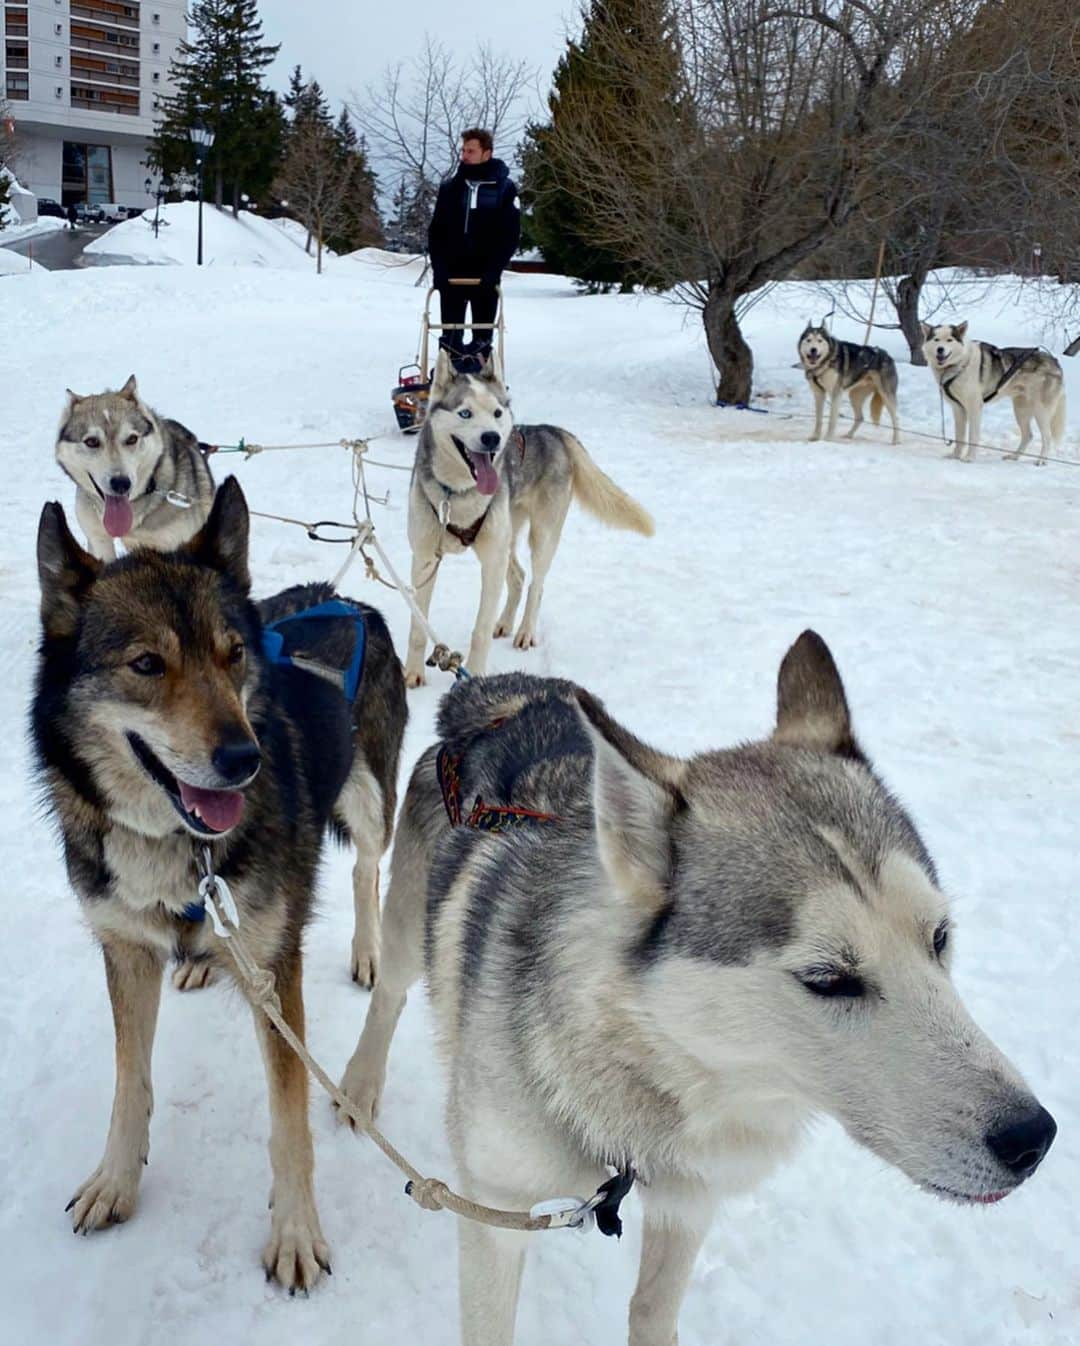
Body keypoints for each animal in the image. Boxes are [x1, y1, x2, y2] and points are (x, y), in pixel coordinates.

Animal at [33, 479, 406, 1286]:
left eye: (233, 655)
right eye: (147, 664)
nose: (245, 759)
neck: (176, 846)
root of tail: (343, 598)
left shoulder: (274, 966)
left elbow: (289, 1116)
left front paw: (295, 1232)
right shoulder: (125, 949)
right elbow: (130, 1082)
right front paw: (116, 1181)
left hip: (368, 799)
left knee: (367, 869)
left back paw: (367, 950)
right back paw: (204, 963)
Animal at [343, 643, 1050, 1346]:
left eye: (939, 937)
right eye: (828, 978)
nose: (1034, 1138)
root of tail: (500, 693)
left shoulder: (691, 1200)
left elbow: (653, 1310)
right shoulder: (496, 1212)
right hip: (406, 933)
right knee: (389, 997)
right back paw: (356, 1086)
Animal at [403, 349, 651, 683]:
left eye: (497, 412)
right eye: (465, 413)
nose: (492, 438)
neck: (458, 494)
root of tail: (553, 431)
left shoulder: (491, 561)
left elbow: (480, 630)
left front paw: (476, 676)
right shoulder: (425, 560)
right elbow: (418, 627)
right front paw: (412, 674)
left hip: (541, 536)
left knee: (536, 585)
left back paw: (524, 631)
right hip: (508, 536)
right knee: (519, 577)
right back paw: (505, 623)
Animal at [915, 320, 1066, 463]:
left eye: (949, 340)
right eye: (936, 339)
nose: (940, 349)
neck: (960, 364)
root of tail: (1054, 360)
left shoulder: (974, 407)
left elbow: (973, 436)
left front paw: (969, 458)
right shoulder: (958, 409)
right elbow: (960, 437)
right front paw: (956, 456)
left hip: (1040, 411)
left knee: (1047, 437)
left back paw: (1041, 460)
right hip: (1021, 410)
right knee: (1028, 435)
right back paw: (1014, 456)